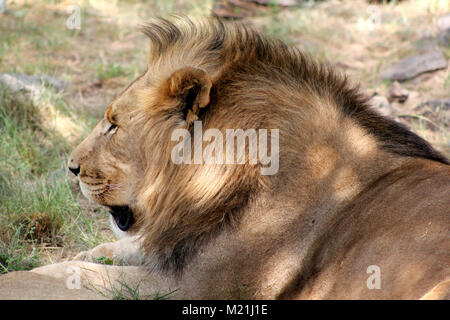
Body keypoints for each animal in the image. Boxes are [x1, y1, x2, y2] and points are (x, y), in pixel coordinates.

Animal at [0, 17, 450, 300]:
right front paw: (91, 252)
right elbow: (115, 251)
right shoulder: (180, 246)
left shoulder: (194, 287)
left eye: (113, 125)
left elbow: (79, 276)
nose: (71, 167)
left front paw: (24, 276)